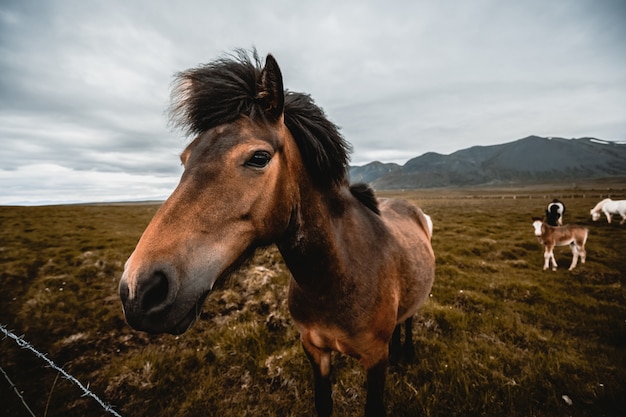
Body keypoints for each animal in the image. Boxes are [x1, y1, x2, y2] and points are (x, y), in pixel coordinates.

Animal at [119, 49, 436, 416]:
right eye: (185, 159)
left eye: (259, 157)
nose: (139, 289)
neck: (338, 276)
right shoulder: (314, 349)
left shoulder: (374, 359)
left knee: (409, 320)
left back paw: (406, 353)